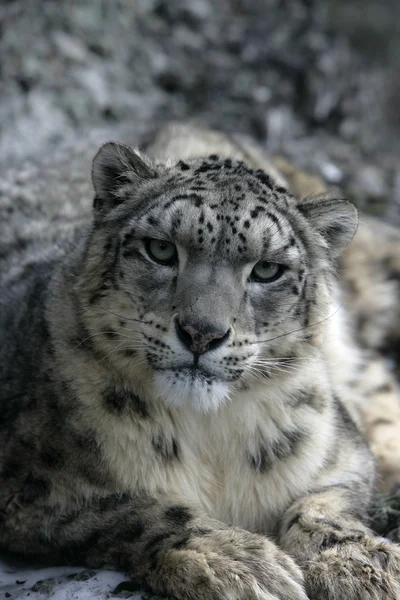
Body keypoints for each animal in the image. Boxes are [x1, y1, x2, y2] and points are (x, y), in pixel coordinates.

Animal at [0, 123, 400, 600]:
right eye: (160, 249)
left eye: (267, 270)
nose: (201, 333)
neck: (213, 435)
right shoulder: (29, 487)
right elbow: (132, 510)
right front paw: (240, 564)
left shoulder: (342, 453)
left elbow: (323, 503)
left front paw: (362, 564)